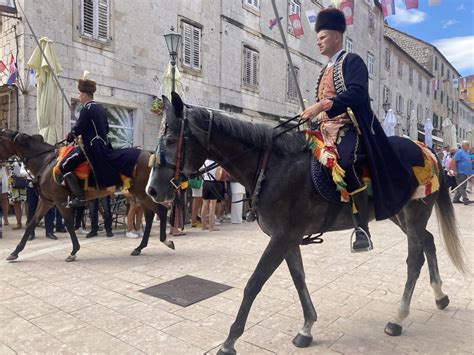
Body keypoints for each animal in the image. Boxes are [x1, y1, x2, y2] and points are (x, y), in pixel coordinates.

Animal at [0, 130, 173, 262]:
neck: (45, 161)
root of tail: (150, 154)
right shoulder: (46, 201)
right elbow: (31, 223)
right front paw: (15, 252)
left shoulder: (60, 202)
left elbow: (69, 224)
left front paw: (73, 251)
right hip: (140, 195)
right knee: (150, 216)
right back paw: (140, 247)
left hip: (143, 194)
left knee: (161, 211)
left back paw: (165, 240)